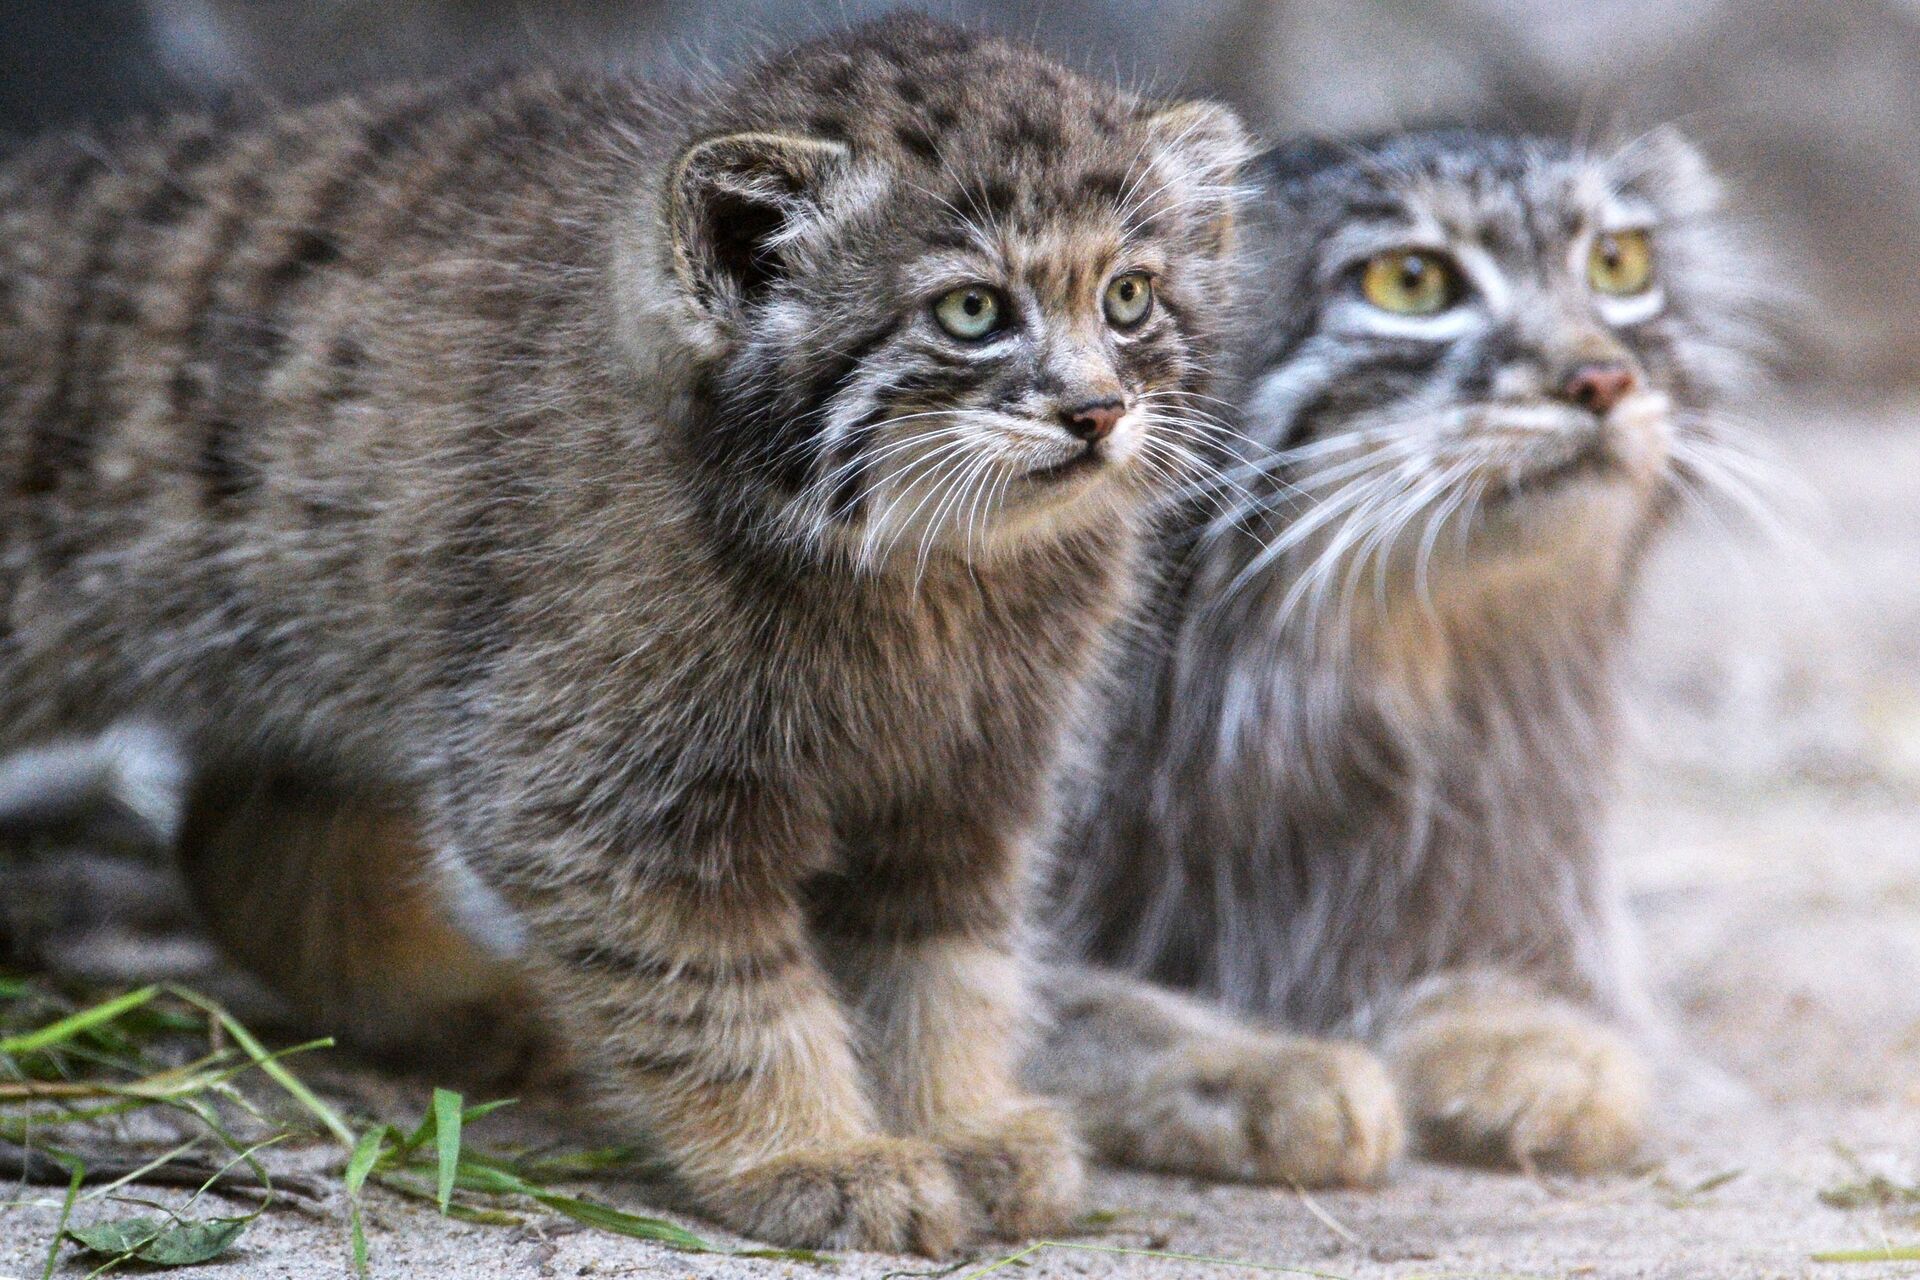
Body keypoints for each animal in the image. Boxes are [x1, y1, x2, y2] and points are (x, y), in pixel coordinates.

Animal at [0, 14, 1251, 1243]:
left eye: (1129, 298)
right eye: (973, 309)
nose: (1098, 412)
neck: (925, 573)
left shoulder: (967, 779)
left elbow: (944, 970)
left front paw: (963, 1118)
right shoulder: (601, 791)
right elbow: (729, 996)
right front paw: (814, 1150)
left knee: (248, 849)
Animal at [1044, 127, 1758, 1174]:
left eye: (1619, 265)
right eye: (1410, 283)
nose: (1604, 380)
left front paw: (1516, 1030)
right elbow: (1039, 1006)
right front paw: (1256, 1064)